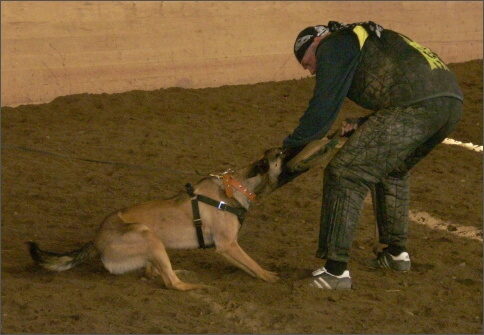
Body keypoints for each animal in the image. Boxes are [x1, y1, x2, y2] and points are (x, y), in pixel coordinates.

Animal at [27, 148, 284, 292]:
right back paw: (196, 286)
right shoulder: (228, 245)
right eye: (278, 155)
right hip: (149, 236)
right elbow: (252, 263)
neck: (237, 186)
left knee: (156, 273)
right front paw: (269, 276)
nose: (283, 148)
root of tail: (95, 240)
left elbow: (247, 266)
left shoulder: (227, 248)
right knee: (171, 283)